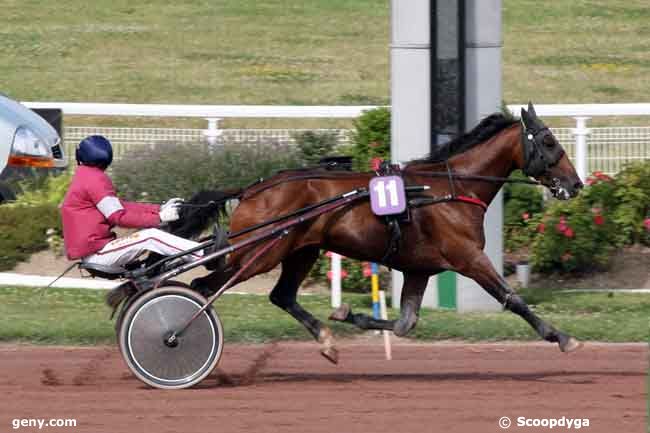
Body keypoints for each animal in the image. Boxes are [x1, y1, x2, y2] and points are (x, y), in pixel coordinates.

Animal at [173, 104, 584, 362]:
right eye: (549, 142)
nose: (575, 184)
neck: (449, 189)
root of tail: (251, 189)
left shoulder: (421, 269)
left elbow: (405, 323)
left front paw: (346, 314)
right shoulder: (468, 258)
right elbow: (511, 298)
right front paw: (562, 337)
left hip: (300, 251)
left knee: (281, 295)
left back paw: (327, 341)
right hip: (260, 253)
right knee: (203, 287)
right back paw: (177, 336)